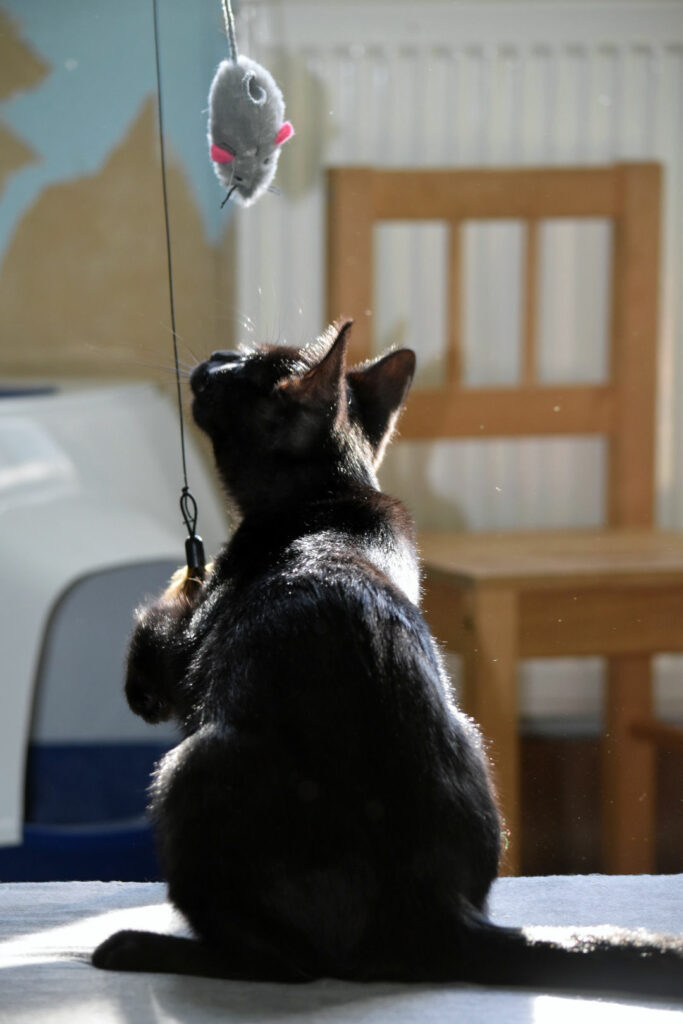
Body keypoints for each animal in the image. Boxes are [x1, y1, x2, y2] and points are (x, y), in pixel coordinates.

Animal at [92, 323, 683, 995]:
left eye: (243, 366)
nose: (216, 356)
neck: (335, 494)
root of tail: (443, 919)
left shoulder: (177, 662)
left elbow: (158, 628)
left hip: (190, 767)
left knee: (288, 966)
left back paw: (138, 946)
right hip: (472, 735)